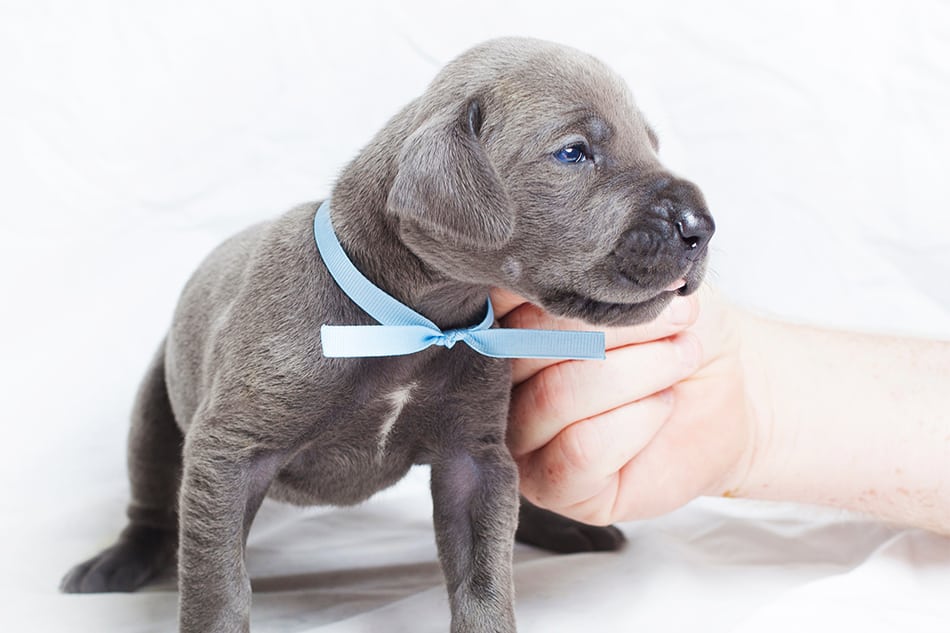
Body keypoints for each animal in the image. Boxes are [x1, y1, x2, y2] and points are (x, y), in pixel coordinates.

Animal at [61, 37, 712, 628]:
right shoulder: (230, 454)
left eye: (651, 145)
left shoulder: (473, 461)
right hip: (153, 412)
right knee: (152, 506)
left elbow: (485, 574)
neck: (414, 323)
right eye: (574, 152)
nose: (700, 226)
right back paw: (116, 563)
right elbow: (218, 586)